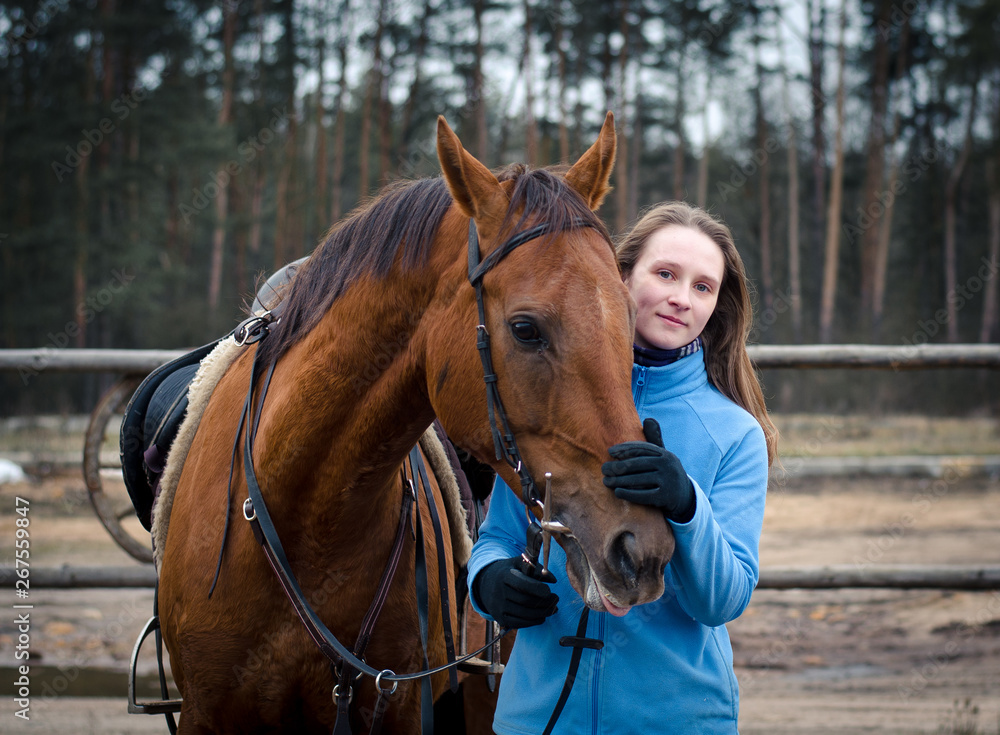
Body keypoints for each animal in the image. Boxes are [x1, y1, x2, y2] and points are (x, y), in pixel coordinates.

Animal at [157, 113, 676, 734]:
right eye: (526, 329)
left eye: (629, 317)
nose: (640, 549)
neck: (305, 524)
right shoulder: (205, 713)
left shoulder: (396, 707)